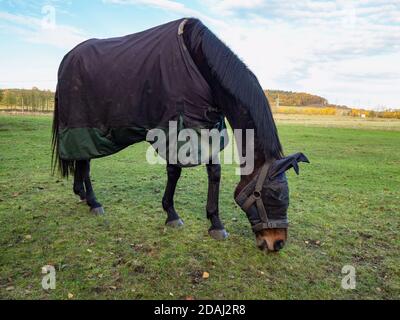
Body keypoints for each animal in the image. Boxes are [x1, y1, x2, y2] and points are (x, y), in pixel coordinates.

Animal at [52, 18, 310, 252]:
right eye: (273, 196)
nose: (277, 243)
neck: (198, 61)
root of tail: (66, 59)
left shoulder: (207, 127)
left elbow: (214, 173)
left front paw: (216, 224)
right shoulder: (175, 129)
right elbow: (174, 172)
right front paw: (172, 214)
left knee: (81, 160)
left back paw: (81, 195)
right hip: (81, 125)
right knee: (85, 162)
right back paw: (94, 202)